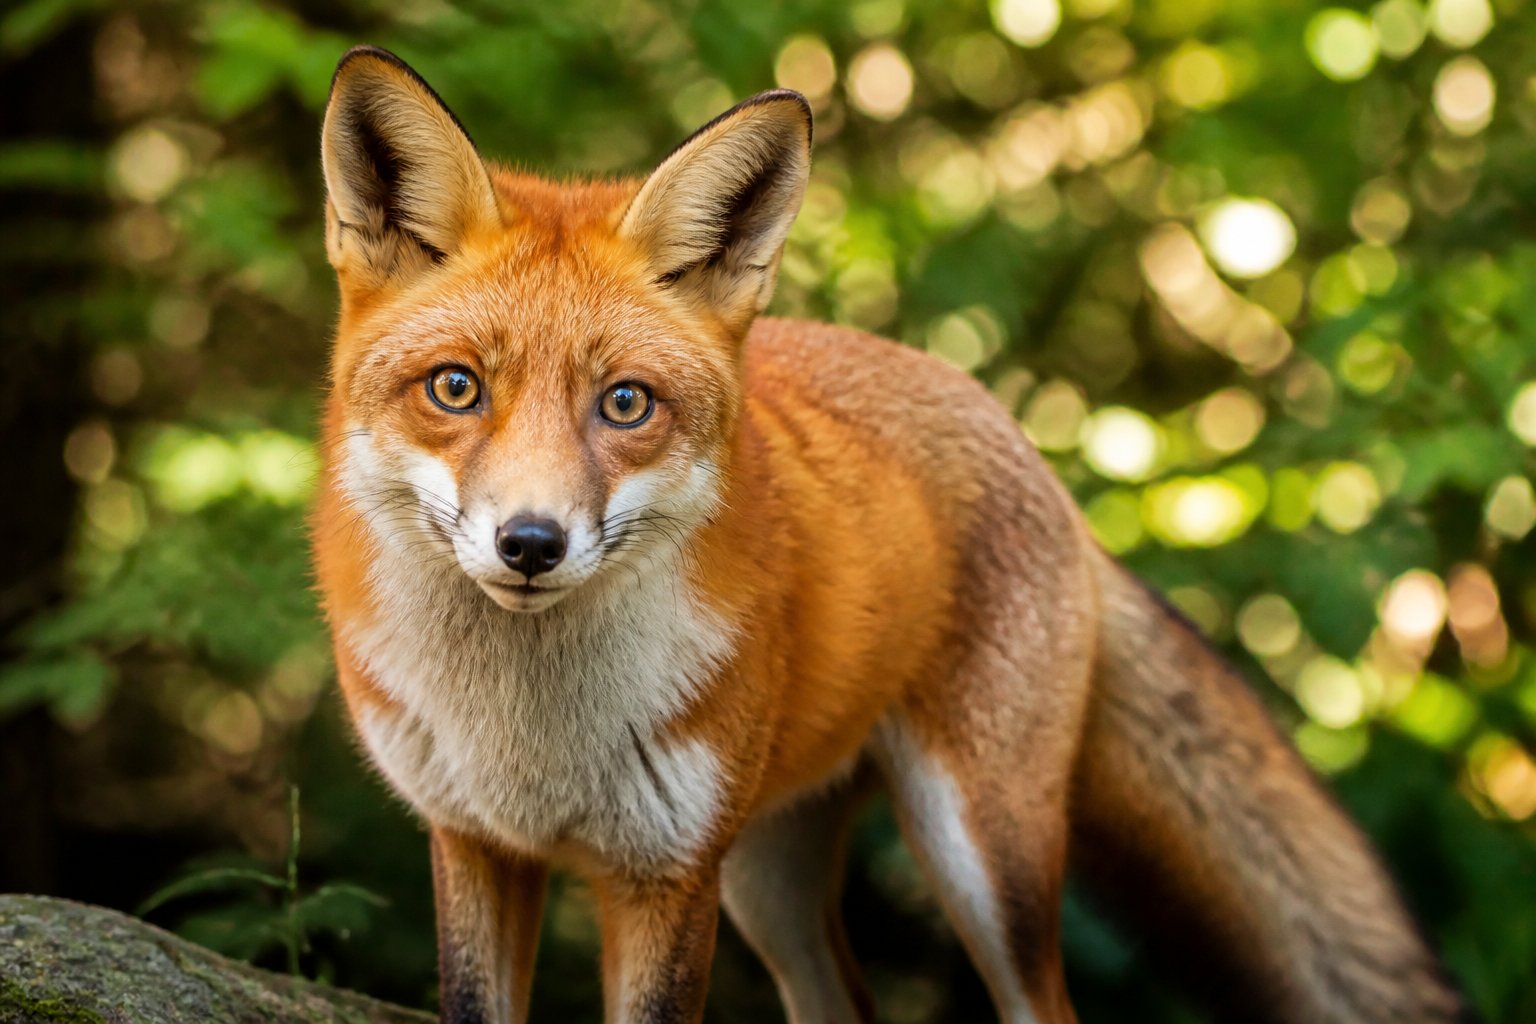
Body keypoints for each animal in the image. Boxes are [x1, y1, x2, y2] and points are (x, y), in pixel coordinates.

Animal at [311, 45, 1464, 1024]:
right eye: (456, 388)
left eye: (626, 404)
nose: (531, 543)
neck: (530, 738)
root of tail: (1020, 440)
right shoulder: (475, 843)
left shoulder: (665, 874)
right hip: (769, 879)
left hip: (979, 856)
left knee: (1041, 1003)